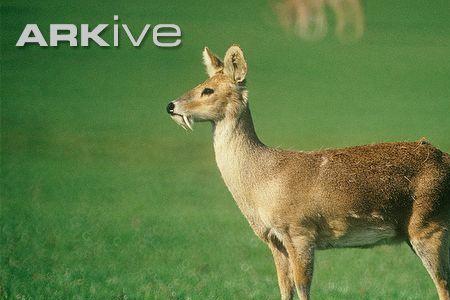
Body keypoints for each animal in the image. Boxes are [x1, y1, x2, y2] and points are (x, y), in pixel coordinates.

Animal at [165, 45, 450, 300]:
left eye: (208, 89)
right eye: (202, 82)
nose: (171, 105)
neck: (262, 180)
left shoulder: (299, 231)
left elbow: (303, 287)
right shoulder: (275, 240)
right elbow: (285, 288)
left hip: (428, 225)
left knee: (443, 284)